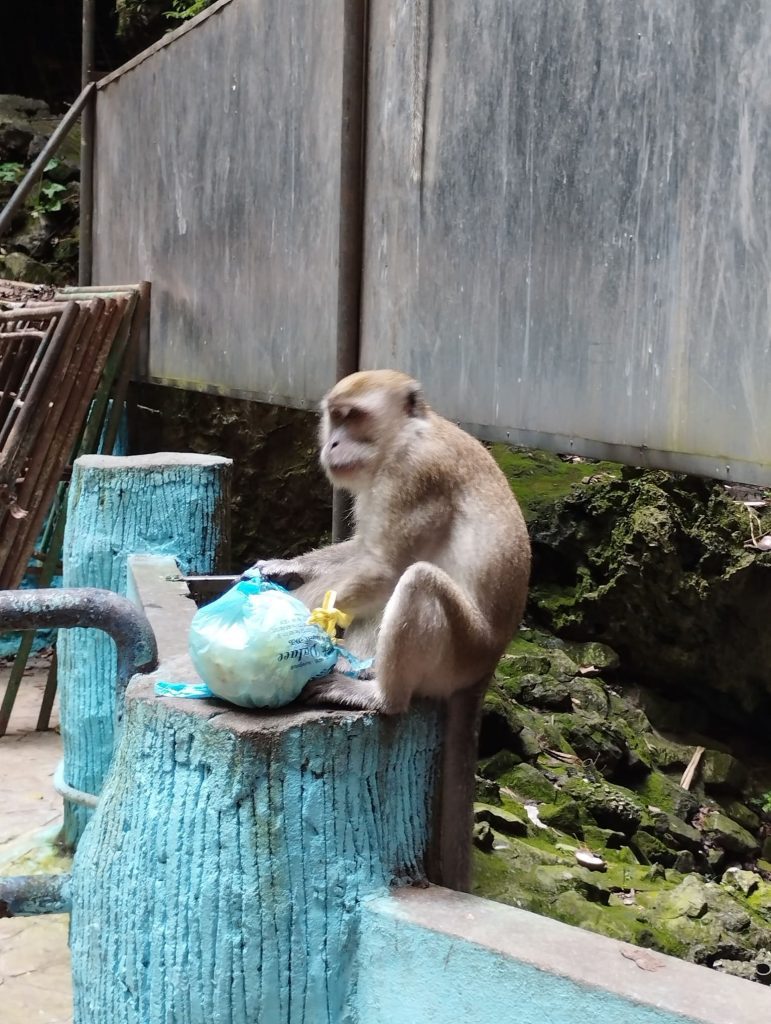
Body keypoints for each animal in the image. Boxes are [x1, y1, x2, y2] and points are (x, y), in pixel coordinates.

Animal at [250, 369, 531, 889]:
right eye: (334, 417)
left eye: (353, 417)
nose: (333, 443)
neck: (401, 438)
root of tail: (487, 665)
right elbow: (361, 550)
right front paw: (281, 567)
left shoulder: (415, 476)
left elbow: (383, 565)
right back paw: (359, 668)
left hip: (458, 651)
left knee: (415, 580)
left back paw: (380, 694)